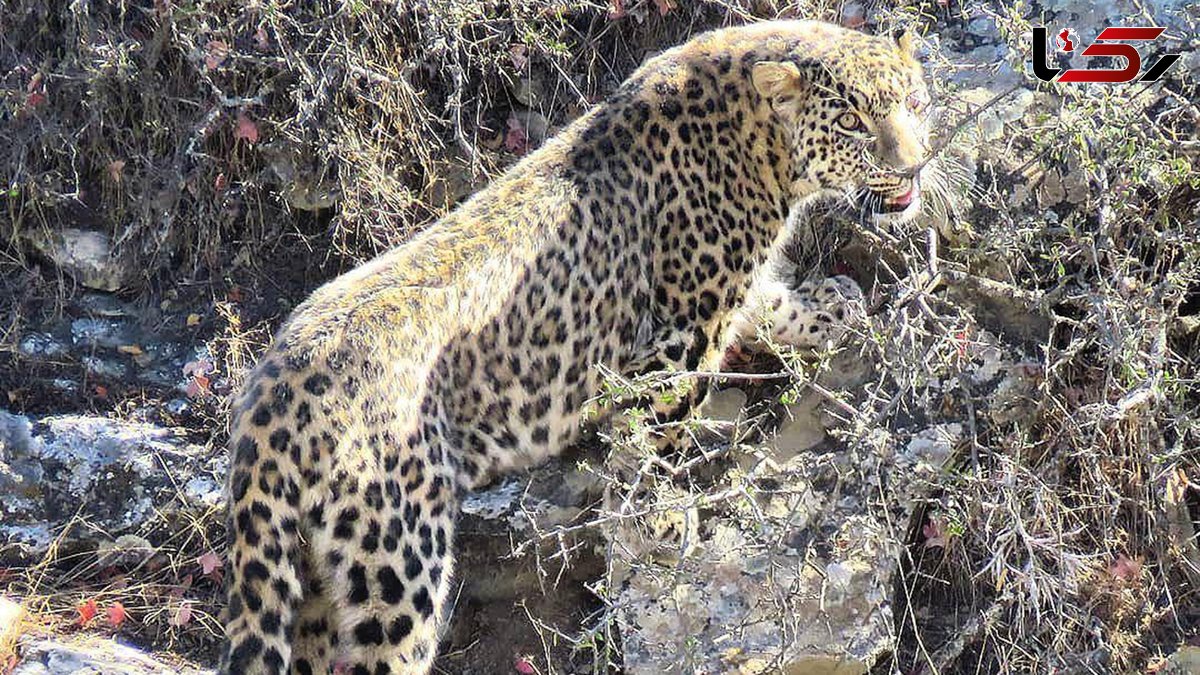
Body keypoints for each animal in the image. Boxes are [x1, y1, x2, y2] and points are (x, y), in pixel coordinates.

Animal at [220, 18, 931, 667]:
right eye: (854, 124)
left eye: (914, 104)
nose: (915, 166)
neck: (767, 149)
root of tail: (268, 397)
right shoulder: (677, 337)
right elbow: (652, 436)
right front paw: (658, 524)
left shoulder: (728, 293)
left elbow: (772, 304)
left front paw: (835, 307)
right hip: (394, 561)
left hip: (311, 581)